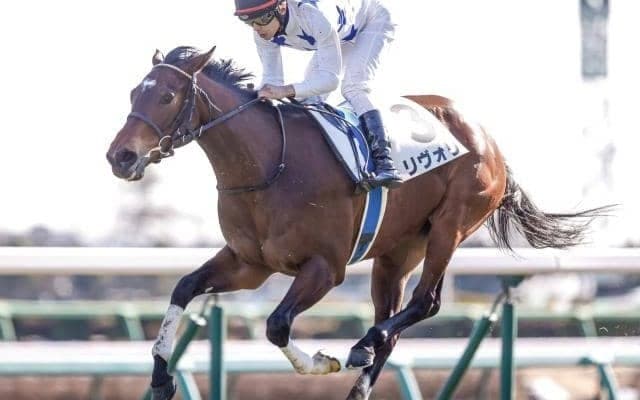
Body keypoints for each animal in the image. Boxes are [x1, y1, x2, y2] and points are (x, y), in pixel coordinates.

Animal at [106, 46, 610, 400]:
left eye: (167, 95)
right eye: (133, 93)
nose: (121, 156)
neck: (269, 164)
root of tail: (486, 136)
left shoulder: (324, 268)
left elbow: (277, 325)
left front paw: (322, 361)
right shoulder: (249, 265)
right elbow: (184, 288)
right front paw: (161, 378)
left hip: (451, 225)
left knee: (425, 303)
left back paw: (361, 344)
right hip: (397, 253)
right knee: (395, 317)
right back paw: (362, 372)